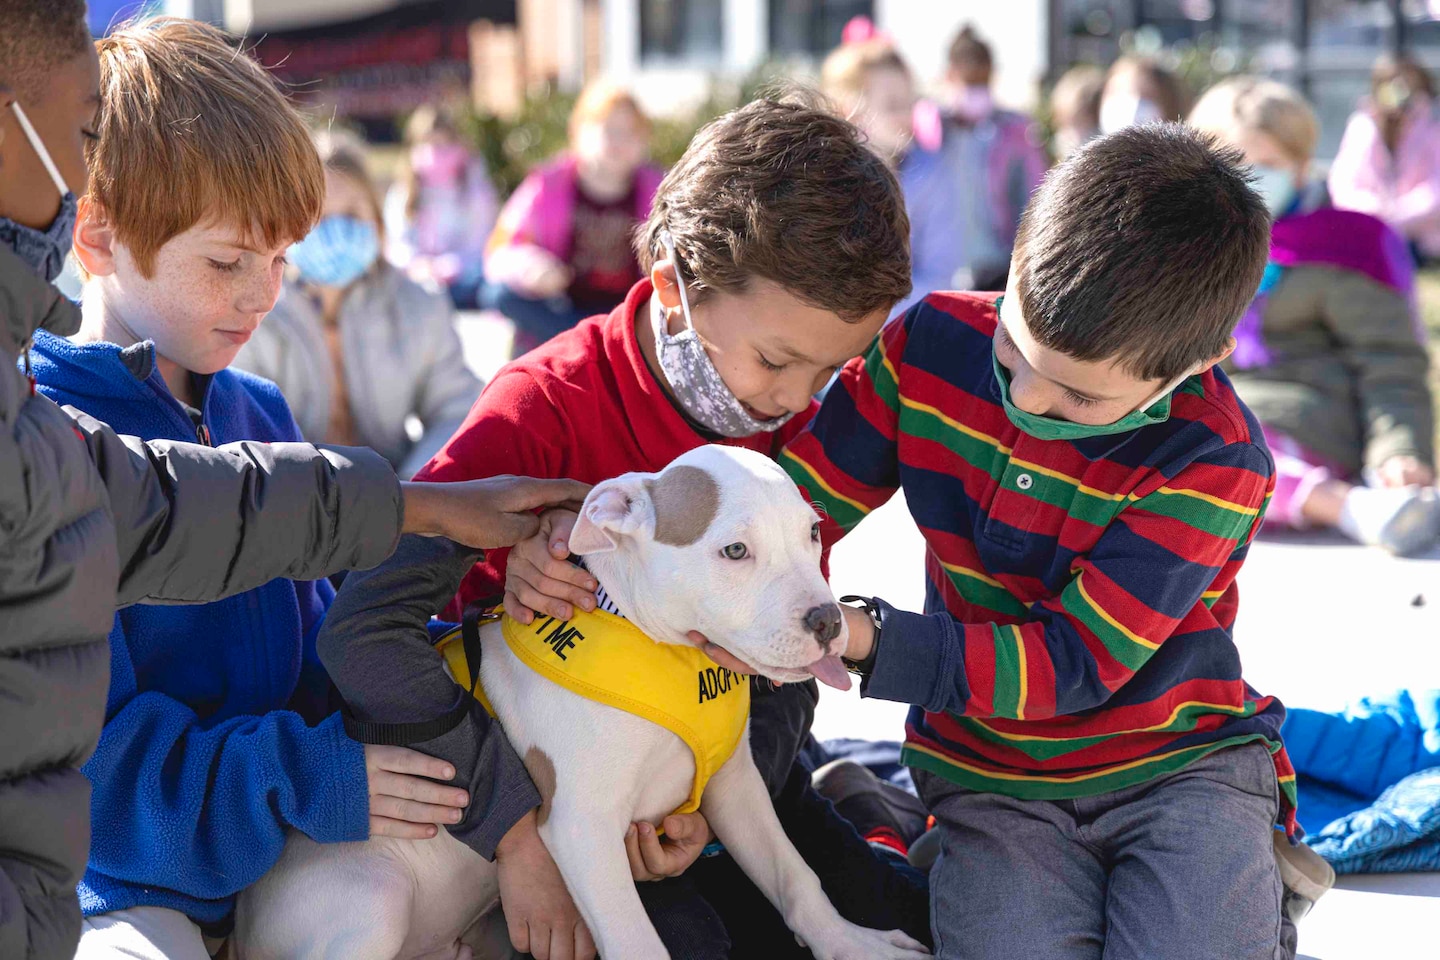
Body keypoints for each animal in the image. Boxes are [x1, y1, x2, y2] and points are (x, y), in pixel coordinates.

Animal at [233, 446, 933, 960]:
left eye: (812, 532)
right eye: (734, 551)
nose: (829, 621)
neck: (666, 653)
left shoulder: (735, 787)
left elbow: (795, 876)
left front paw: (854, 944)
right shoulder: (582, 828)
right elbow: (636, 941)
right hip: (369, 901)